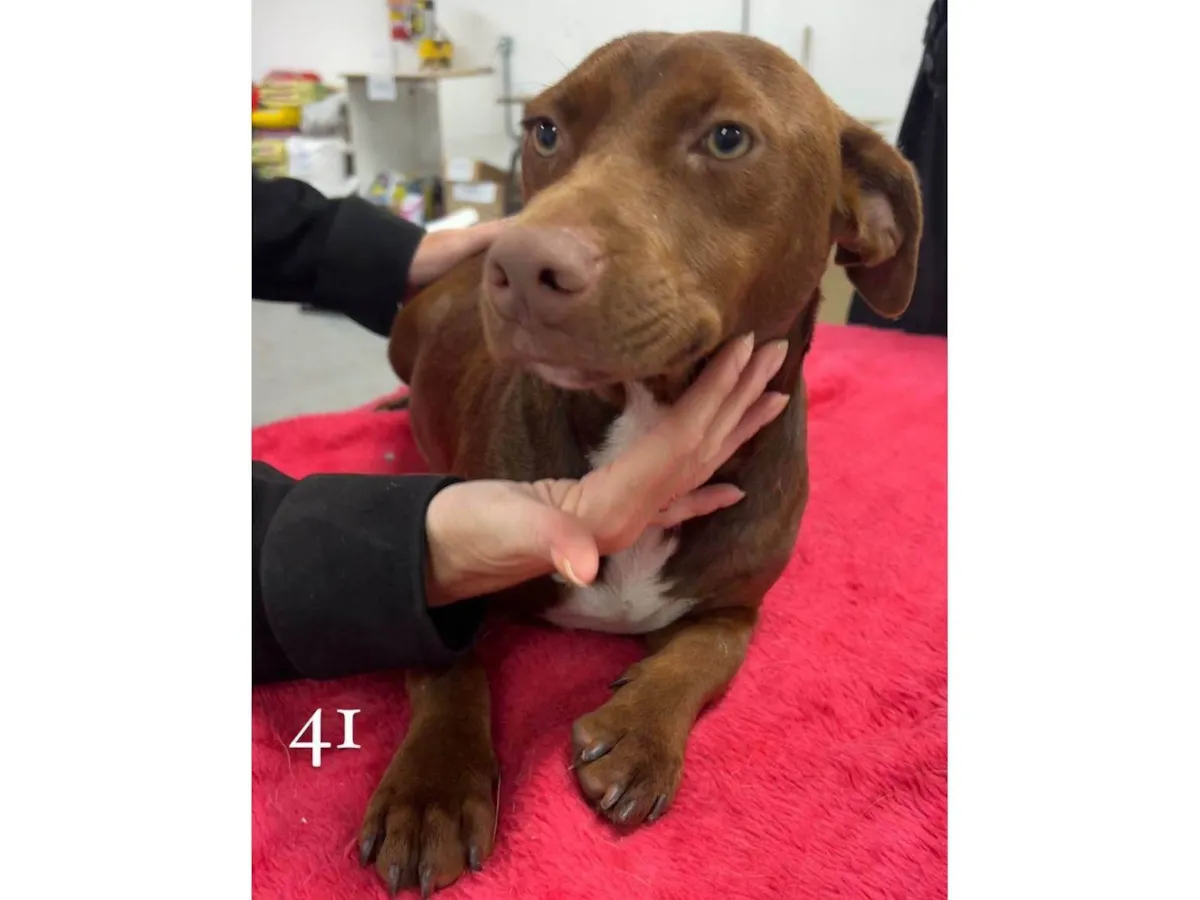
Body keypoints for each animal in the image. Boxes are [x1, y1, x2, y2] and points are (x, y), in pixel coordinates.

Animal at [358, 30, 922, 897]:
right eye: (545, 130)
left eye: (726, 138)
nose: (518, 265)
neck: (643, 418)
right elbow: (447, 666)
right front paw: (432, 794)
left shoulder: (737, 605)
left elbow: (704, 655)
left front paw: (637, 733)